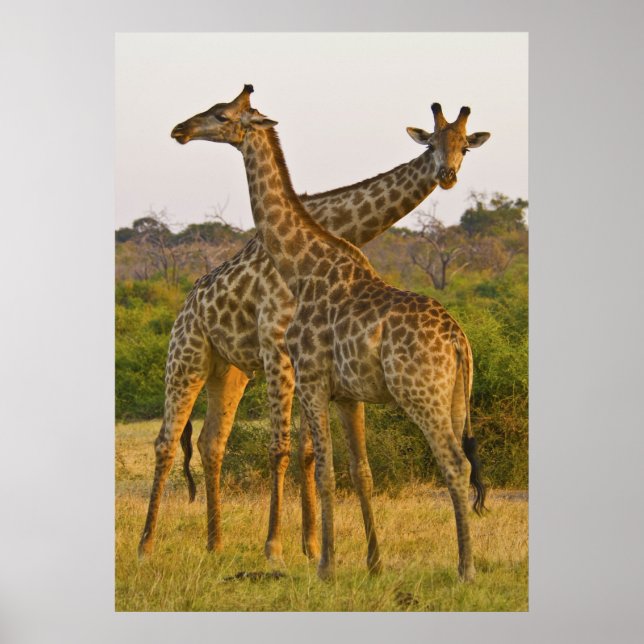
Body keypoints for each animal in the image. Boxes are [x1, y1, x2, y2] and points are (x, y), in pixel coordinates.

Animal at [138, 86, 490, 567]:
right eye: (431, 144)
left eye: (464, 147)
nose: (181, 129)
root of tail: (187, 303)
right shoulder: (282, 351)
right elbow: (288, 449)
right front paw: (282, 545)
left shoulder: (298, 363)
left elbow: (305, 452)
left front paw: (305, 545)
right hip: (188, 357)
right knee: (169, 441)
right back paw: (152, 544)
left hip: (230, 370)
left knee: (211, 442)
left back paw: (214, 543)